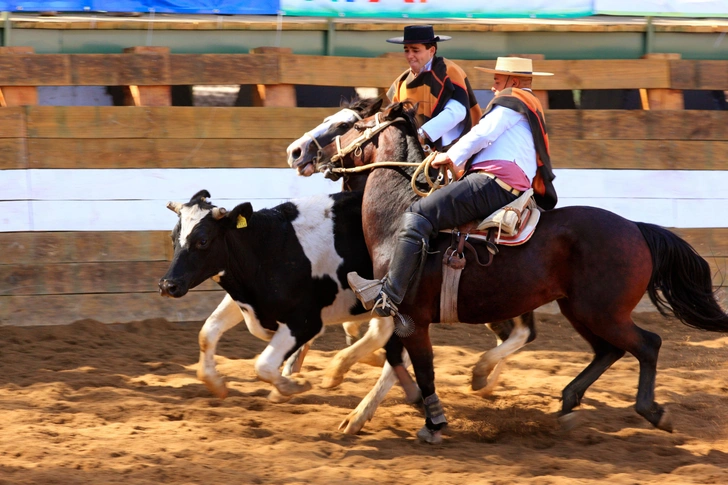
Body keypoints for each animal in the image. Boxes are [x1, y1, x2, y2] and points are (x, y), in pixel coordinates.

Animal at [161, 189, 392, 398]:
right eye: (173, 237)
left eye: (202, 240)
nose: (167, 285)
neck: (271, 250)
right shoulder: (245, 299)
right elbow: (208, 332)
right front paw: (215, 383)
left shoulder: (306, 322)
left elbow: (263, 365)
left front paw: (295, 385)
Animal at [312, 101, 728, 442]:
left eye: (348, 125)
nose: (305, 154)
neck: (399, 218)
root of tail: (636, 227)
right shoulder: (405, 322)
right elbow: (401, 362)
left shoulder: (410, 319)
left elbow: (422, 368)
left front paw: (432, 423)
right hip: (580, 310)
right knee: (608, 350)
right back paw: (567, 403)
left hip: (603, 313)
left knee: (647, 345)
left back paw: (651, 411)